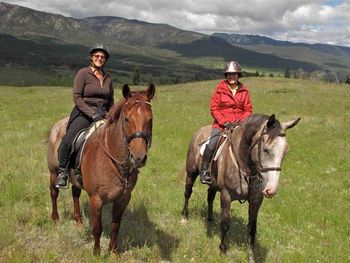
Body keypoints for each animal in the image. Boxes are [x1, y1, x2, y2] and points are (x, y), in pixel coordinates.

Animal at [47, 83, 155, 255]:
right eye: (126, 119)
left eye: (150, 119)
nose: (138, 158)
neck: (112, 156)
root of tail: (57, 125)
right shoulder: (96, 199)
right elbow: (97, 227)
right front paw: (97, 253)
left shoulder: (123, 198)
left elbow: (116, 225)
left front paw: (113, 251)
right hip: (53, 172)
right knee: (54, 193)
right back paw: (55, 218)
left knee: (75, 194)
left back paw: (78, 220)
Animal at [182, 114, 300, 262]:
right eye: (266, 149)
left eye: (285, 151)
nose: (271, 190)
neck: (246, 166)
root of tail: (200, 130)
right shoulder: (226, 196)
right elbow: (225, 223)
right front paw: (222, 250)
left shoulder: (256, 201)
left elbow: (252, 229)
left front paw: (251, 256)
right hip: (191, 172)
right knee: (188, 192)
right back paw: (184, 217)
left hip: (213, 184)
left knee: (210, 196)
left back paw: (210, 219)